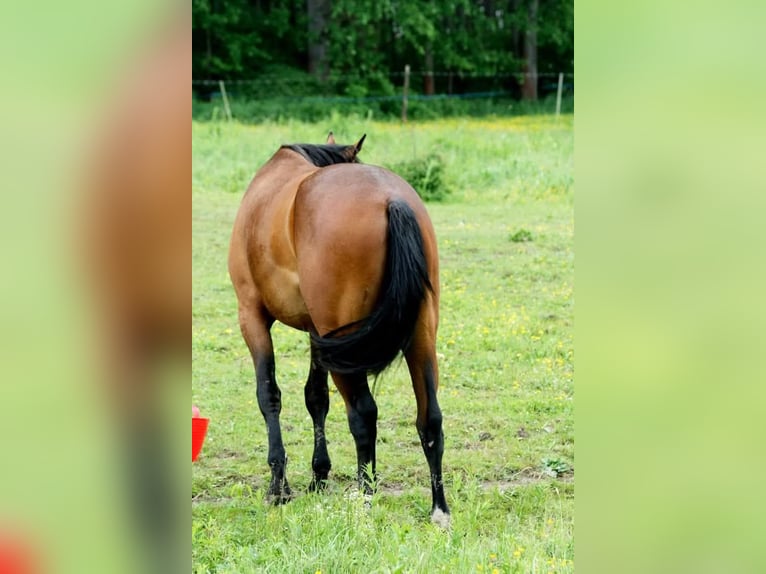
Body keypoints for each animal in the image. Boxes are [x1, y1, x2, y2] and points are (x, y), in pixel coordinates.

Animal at [231, 133, 452, 528]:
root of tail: (390, 199)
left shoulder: (251, 316)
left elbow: (268, 394)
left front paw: (278, 487)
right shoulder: (315, 332)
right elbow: (316, 397)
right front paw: (318, 476)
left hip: (343, 344)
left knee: (363, 415)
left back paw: (364, 502)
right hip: (420, 337)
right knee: (430, 418)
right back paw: (439, 510)